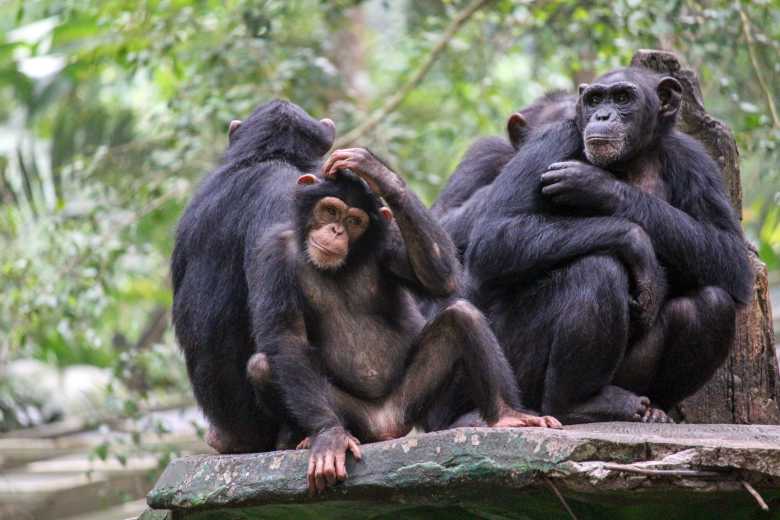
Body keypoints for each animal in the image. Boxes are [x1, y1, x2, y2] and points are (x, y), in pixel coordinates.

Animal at [247, 148, 556, 494]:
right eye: (329, 210)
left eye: (354, 221)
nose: (336, 231)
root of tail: (387, 426)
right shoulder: (271, 252)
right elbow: (287, 337)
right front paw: (329, 437)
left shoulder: (391, 240)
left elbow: (440, 278)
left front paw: (376, 172)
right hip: (357, 418)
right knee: (262, 365)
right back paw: (302, 438)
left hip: (411, 402)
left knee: (462, 316)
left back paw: (508, 415)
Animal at [464, 67, 756, 424]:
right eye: (594, 100)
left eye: (622, 98)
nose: (602, 115)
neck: (631, 160)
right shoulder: (551, 141)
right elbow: (495, 235)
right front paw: (637, 244)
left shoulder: (697, 162)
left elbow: (729, 254)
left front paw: (597, 186)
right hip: (514, 369)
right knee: (598, 268)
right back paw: (577, 404)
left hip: (631, 378)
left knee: (712, 302)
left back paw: (655, 409)